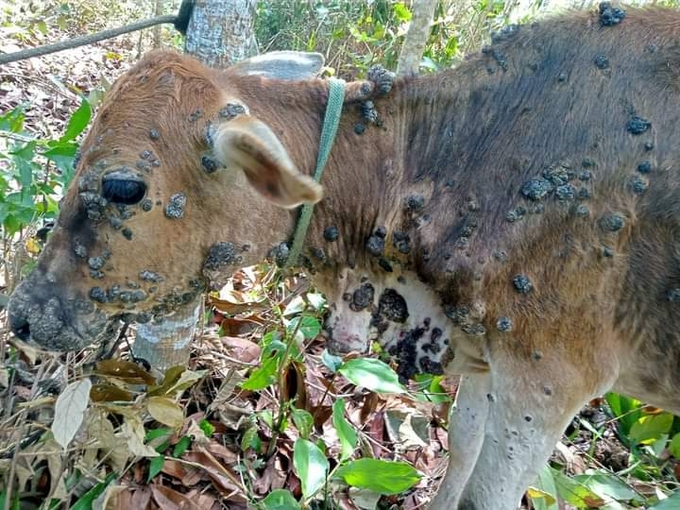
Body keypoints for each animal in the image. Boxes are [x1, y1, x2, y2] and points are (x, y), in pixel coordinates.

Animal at [7, 2, 680, 506]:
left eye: (123, 187)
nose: (22, 314)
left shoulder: (548, 378)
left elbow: (486, 494)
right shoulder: (488, 359)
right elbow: (462, 447)